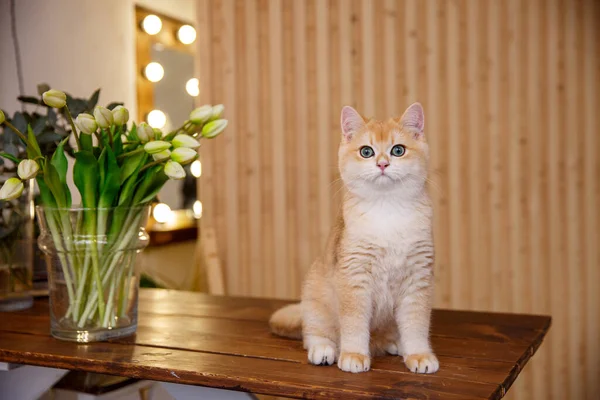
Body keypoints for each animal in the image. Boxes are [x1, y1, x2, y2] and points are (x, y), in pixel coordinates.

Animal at [270, 103, 438, 376]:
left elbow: (416, 325)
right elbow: (354, 324)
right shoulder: (354, 278)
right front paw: (354, 355)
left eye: (398, 150)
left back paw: (395, 344)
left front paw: (419, 354)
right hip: (314, 295)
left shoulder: (417, 279)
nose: (382, 164)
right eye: (366, 152)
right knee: (314, 334)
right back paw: (324, 350)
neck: (387, 209)